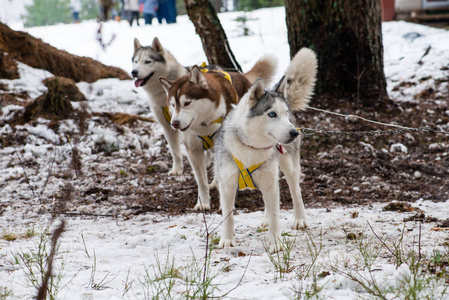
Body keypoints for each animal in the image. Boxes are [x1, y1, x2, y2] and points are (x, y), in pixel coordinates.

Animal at [133, 36, 189, 175]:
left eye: (148, 61)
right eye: (136, 61)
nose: (133, 72)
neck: (163, 94)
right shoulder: (167, 127)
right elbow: (175, 152)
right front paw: (177, 169)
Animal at [214, 48, 316, 252]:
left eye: (284, 114)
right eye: (272, 114)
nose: (294, 133)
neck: (251, 148)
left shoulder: (270, 183)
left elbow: (277, 215)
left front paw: (276, 243)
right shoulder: (227, 185)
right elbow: (228, 216)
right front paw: (227, 239)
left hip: (288, 168)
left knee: (296, 192)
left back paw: (300, 219)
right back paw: (265, 219)